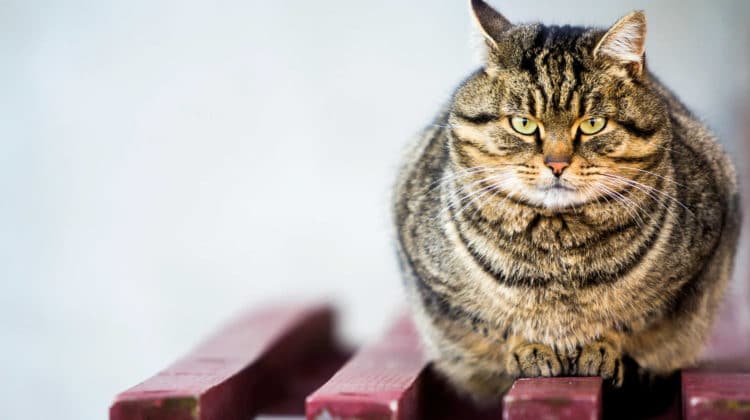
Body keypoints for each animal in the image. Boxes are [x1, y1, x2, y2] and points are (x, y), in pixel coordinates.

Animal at [396, 0, 744, 402]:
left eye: (592, 124)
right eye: (523, 124)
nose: (557, 163)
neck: (558, 242)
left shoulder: (696, 270)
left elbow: (633, 321)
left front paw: (602, 348)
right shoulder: (437, 286)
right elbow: (496, 325)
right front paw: (528, 348)